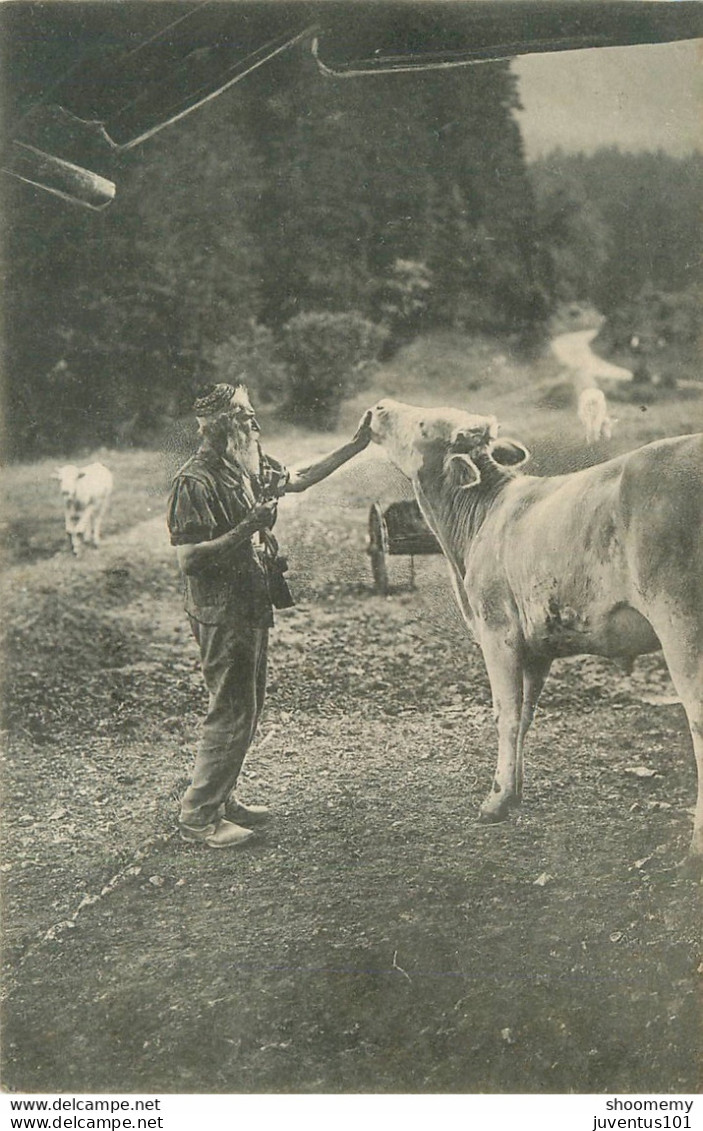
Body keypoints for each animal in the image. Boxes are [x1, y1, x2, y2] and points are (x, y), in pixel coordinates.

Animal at [368, 398, 703, 864]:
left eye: (422, 422)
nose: (380, 406)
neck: (480, 518)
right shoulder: (535, 644)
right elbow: (526, 714)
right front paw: (515, 791)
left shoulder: (498, 629)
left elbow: (505, 714)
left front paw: (494, 800)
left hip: (681, 620)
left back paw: (696, 848)